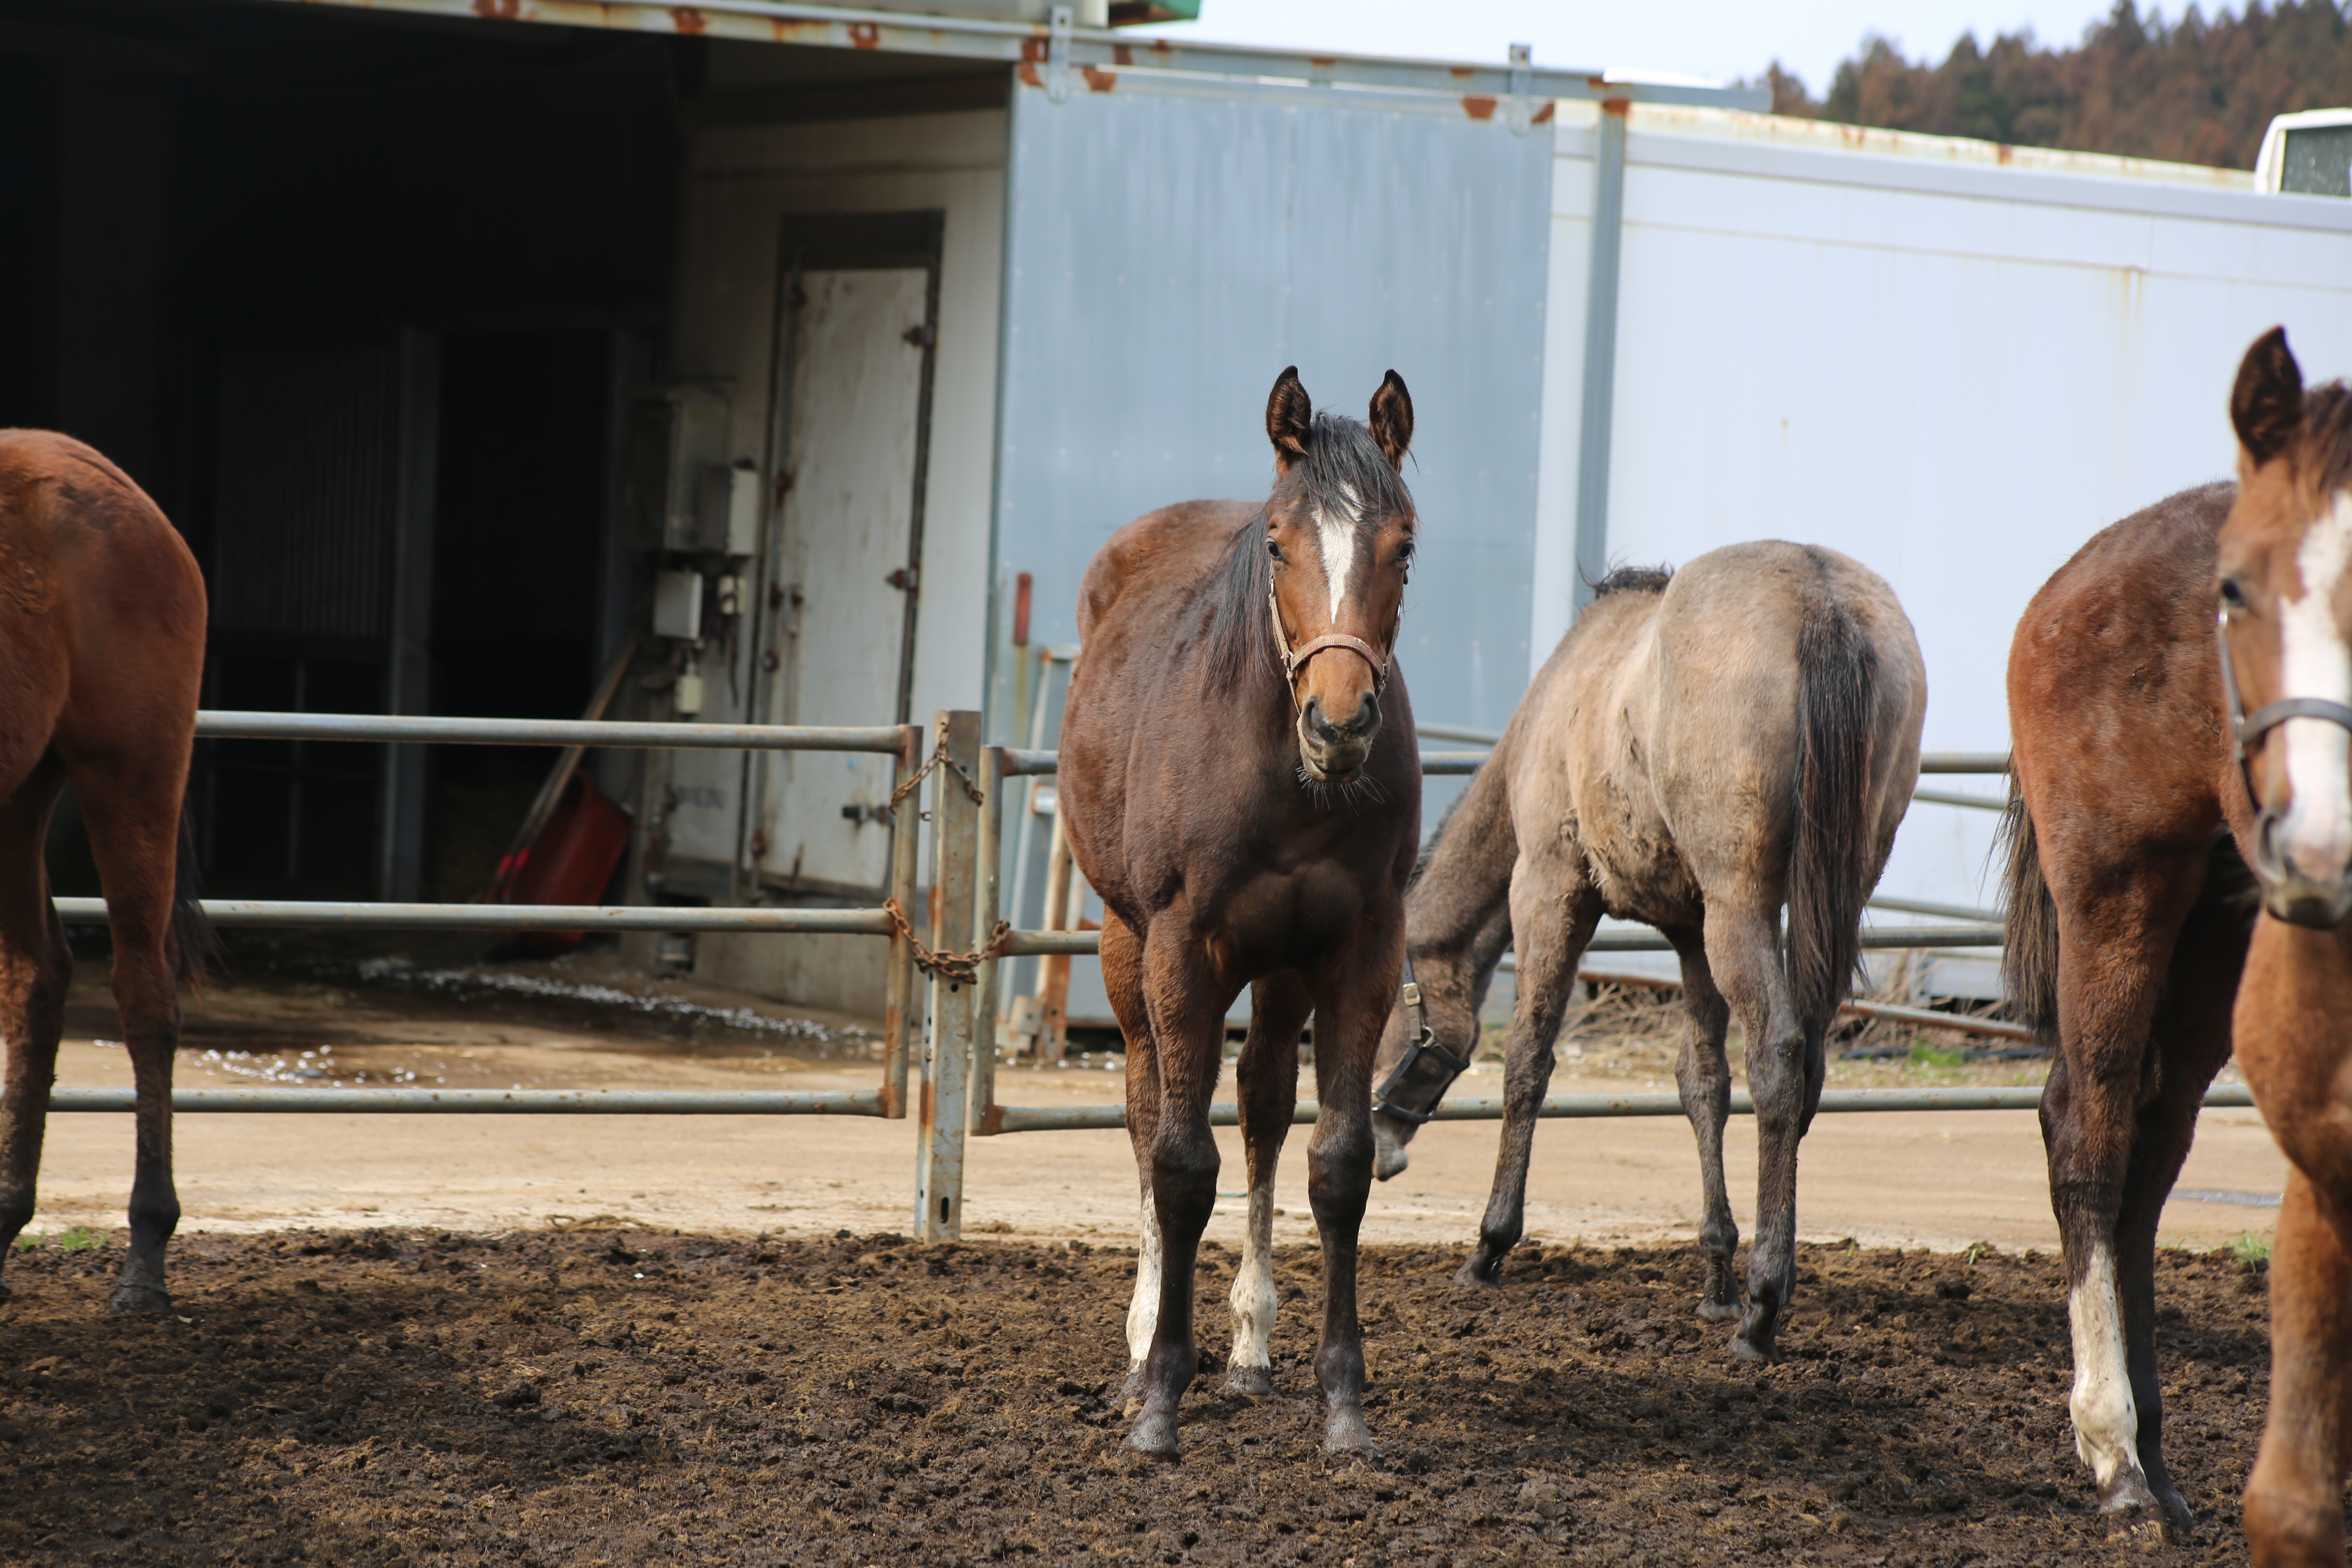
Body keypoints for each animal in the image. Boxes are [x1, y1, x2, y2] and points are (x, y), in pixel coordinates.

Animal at [1063, 364, 1421, 1457]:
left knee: (1263, 1099)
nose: (1338, 724)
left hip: (1284, 966)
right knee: (1146, 1109)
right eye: (1276, 544)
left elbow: (1337, 1163)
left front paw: (1343, 1406)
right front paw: (1158, 1403)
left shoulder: (1358, 950)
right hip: (1125, 944)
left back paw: (1253, 1351)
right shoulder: (1183, 947)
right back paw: (1140, 1349)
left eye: (1404, 546)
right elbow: (1181, 1164)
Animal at [1373, 543, 1919, 1363]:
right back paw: (1759, 1285)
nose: (1378, 1147)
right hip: (1815, 898)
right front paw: (1716, 1274)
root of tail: (1820, 599)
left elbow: (1528, 1061)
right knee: (1804, 1070)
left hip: (1740, 907)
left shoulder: (1549, 889)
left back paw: (1765, 1306)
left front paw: (1490, 1246)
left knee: (1779, 1058)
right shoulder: (1691, 936)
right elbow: (1703, 1085)